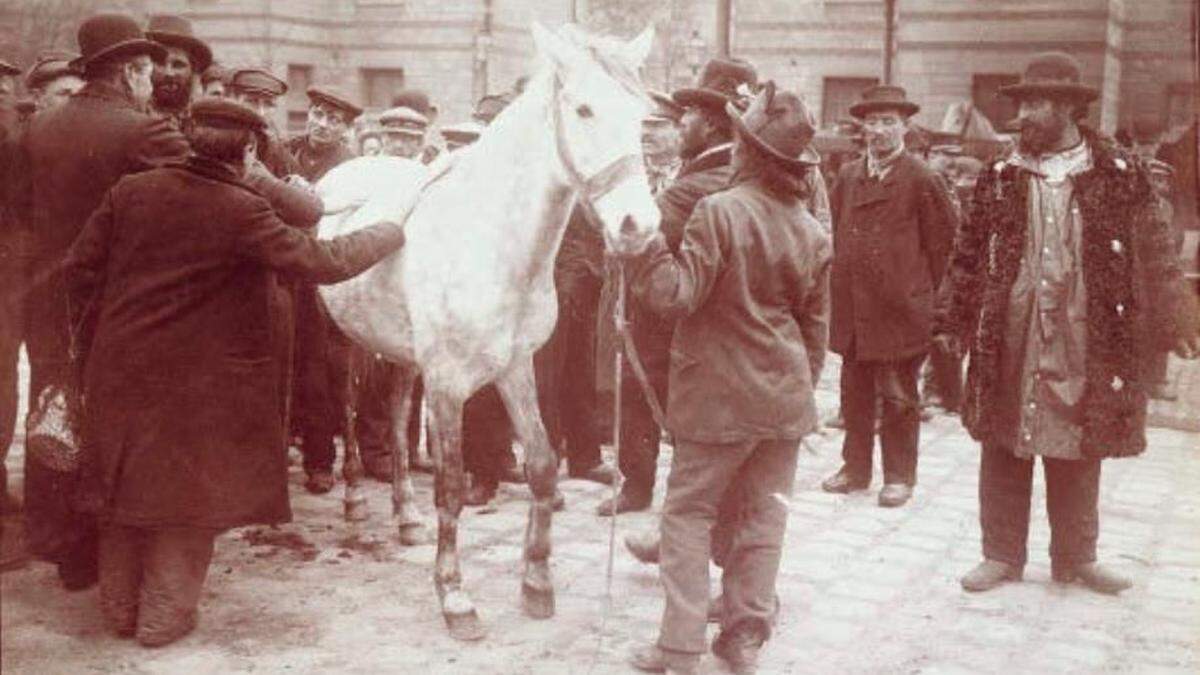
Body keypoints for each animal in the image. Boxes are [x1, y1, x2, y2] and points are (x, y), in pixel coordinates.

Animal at [312, 23, 657, 638]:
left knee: (396, 417)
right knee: (350, 411)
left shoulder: (515, 367)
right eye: (584, 109)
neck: (490, 242)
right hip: (348, 341)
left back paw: (405, 515)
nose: (638, 226)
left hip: (401, 354)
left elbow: (542, 464)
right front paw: (455, 598)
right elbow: (451, 483)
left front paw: (536, 583)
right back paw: (354, 496)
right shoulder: (449, 384)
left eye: (640, 114)